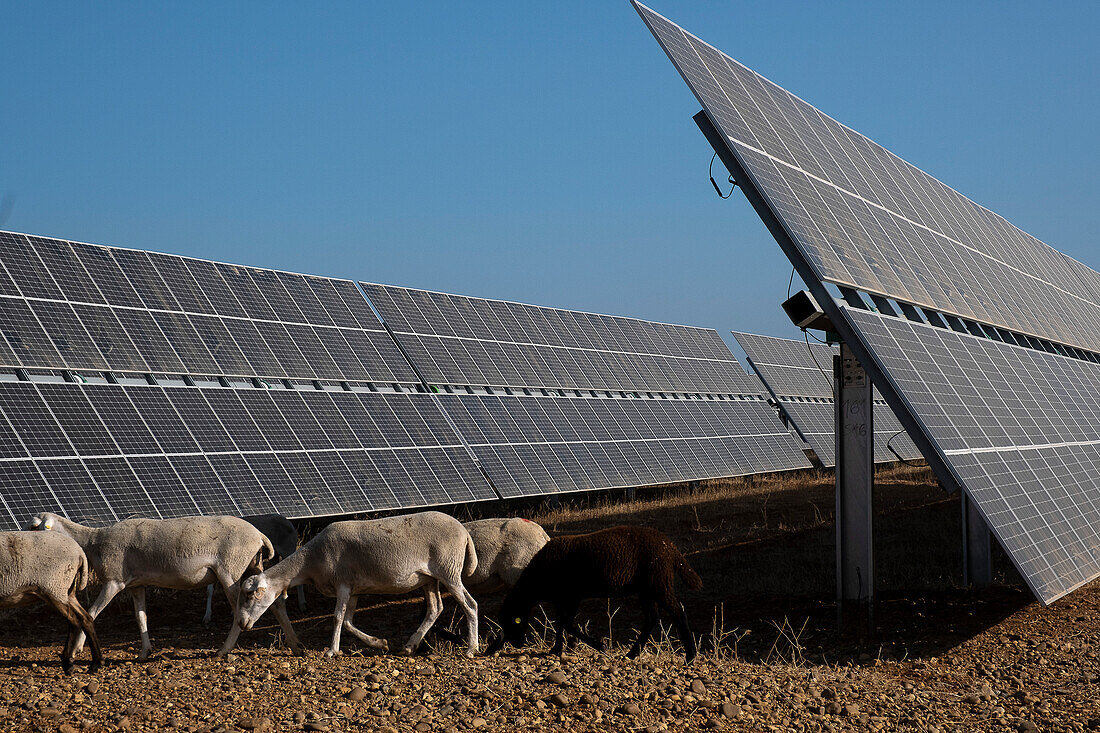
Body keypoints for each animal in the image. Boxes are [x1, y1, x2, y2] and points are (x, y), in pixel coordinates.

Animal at [0, 526, 103, 673]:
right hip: (67, 591)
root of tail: (79, 552)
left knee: (73, 620)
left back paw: (68, 663)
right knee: (86, 618)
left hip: (54, 588)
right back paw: (96, 663)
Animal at [29, 510, 301, 660]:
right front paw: (145, 652)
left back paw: (224, 650)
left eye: (36, 527)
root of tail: (258, 535)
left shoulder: (114, 582)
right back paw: (295, 644)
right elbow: (141, 617)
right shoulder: (135, 585)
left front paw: (75, 649)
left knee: (239, 611)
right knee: (274, 601)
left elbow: (92, 614)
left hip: (231, 570)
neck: (92, 541)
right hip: (252, 567)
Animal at [238, 508, 479, 655]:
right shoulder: (354, 589)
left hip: (449, 570)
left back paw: (471, 648)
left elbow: (337, 617)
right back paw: (410, 645)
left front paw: (332, 650)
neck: (310, 562)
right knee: (435, 609)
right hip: (430, 578)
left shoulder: (343, 584)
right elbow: (348, 621)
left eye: (250, 595)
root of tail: (464, 532)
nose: (241, 624)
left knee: (470, 605)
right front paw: (379, 643)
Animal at [484, 521, 704, 660]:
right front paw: (557, 649)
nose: (517, 644)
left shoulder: (572, 595)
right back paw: (632, 654)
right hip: (646, 589)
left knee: (677, 612)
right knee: (652, 618)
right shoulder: (563, 597)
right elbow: (560, 623)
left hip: (659, 582)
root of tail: (670, 547)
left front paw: (599, 645)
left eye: (514, 620)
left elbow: (567, 623)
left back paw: (690, 655)